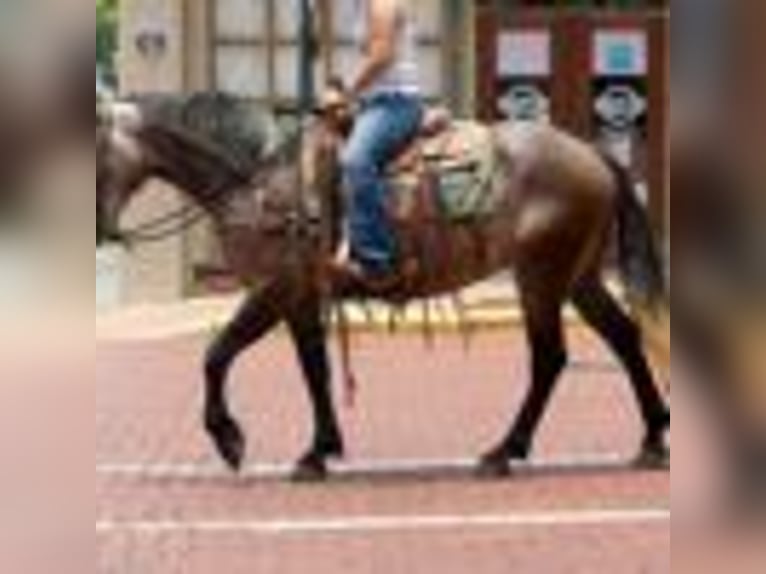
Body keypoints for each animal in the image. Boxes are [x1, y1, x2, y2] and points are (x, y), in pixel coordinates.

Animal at [96, 93, 670, 480]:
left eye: (98, 158)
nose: (101, 230)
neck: (261, 181)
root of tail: (594, 154)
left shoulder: (273, 290)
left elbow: (216, 354)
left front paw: (229, 438)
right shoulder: (300, 298)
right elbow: (314, 370)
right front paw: (319, 449)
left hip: (542, 276)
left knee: (550, 358)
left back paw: (505, 450)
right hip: (578, 278)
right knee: (623, 339)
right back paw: (651, 439)